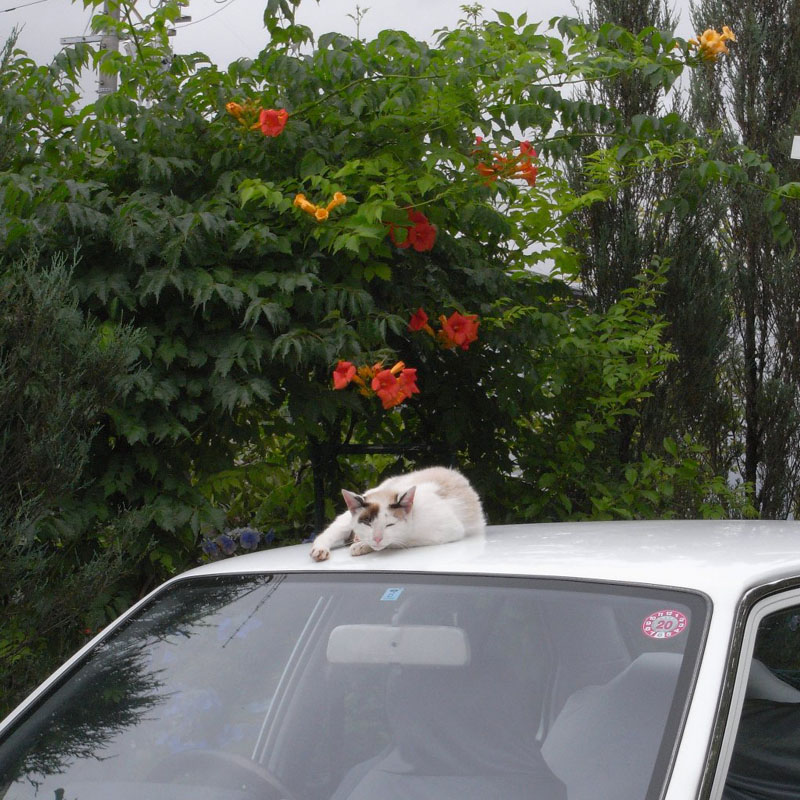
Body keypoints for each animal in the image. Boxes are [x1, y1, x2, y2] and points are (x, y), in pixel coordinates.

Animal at [309, 466, 485, 561]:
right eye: (368, 523)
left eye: (390, 525)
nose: (377, 538)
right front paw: (363, 542)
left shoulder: (448, 531)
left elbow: (395, 542)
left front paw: (362, 545)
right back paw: (320, 550)